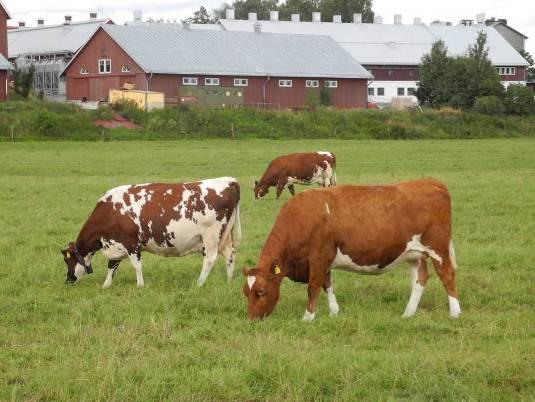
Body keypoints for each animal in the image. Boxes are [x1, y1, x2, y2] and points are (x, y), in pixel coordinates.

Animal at [60, 177, 241, 288]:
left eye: (67, 261)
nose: (67, 280)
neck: (109, 212)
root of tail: (227, 180)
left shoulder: (131, 243)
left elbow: (136, 265)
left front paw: (140, 285)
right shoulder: (116, 244)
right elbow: (112, 265)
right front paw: (106, 285)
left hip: (211, 236)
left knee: (210, 259)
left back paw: (199, 283)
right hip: (225, 236)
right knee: (229, 254)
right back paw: (229, 281)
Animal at [245, 179, 462, 320]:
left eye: (261, 291)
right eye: (245, 292)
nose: (252, 319)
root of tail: (431, 181)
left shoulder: (318, 257)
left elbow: (313, 287)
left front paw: (308, 317)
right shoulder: (324, 261)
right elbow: (327, 284)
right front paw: (334, 312)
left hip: (438, 248)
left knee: (447, 275)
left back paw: (455, 313)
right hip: (414, 254)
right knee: (420, 280)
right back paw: (408, 314)